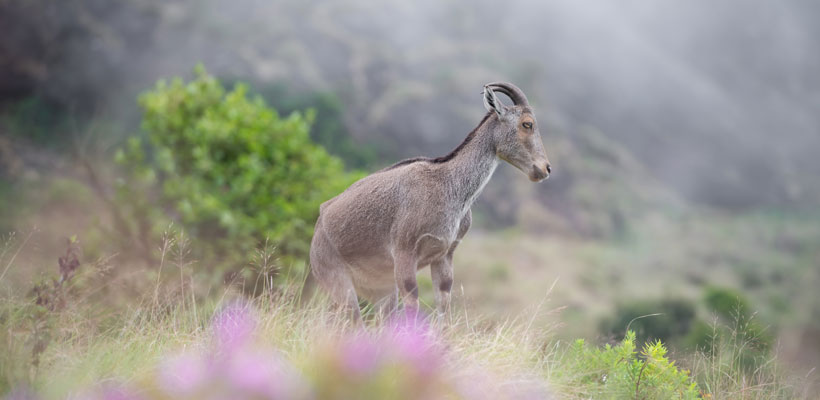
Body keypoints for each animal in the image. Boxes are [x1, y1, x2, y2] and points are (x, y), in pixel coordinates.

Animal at [310, 82, 551, 321]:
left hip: (380, 288)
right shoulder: (404, 252)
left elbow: (443, 308)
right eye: (527, 123)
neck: (449, 186)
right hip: (339, 282)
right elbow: (412, 307)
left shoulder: (445, 255)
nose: (545, 168)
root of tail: (318, 226)